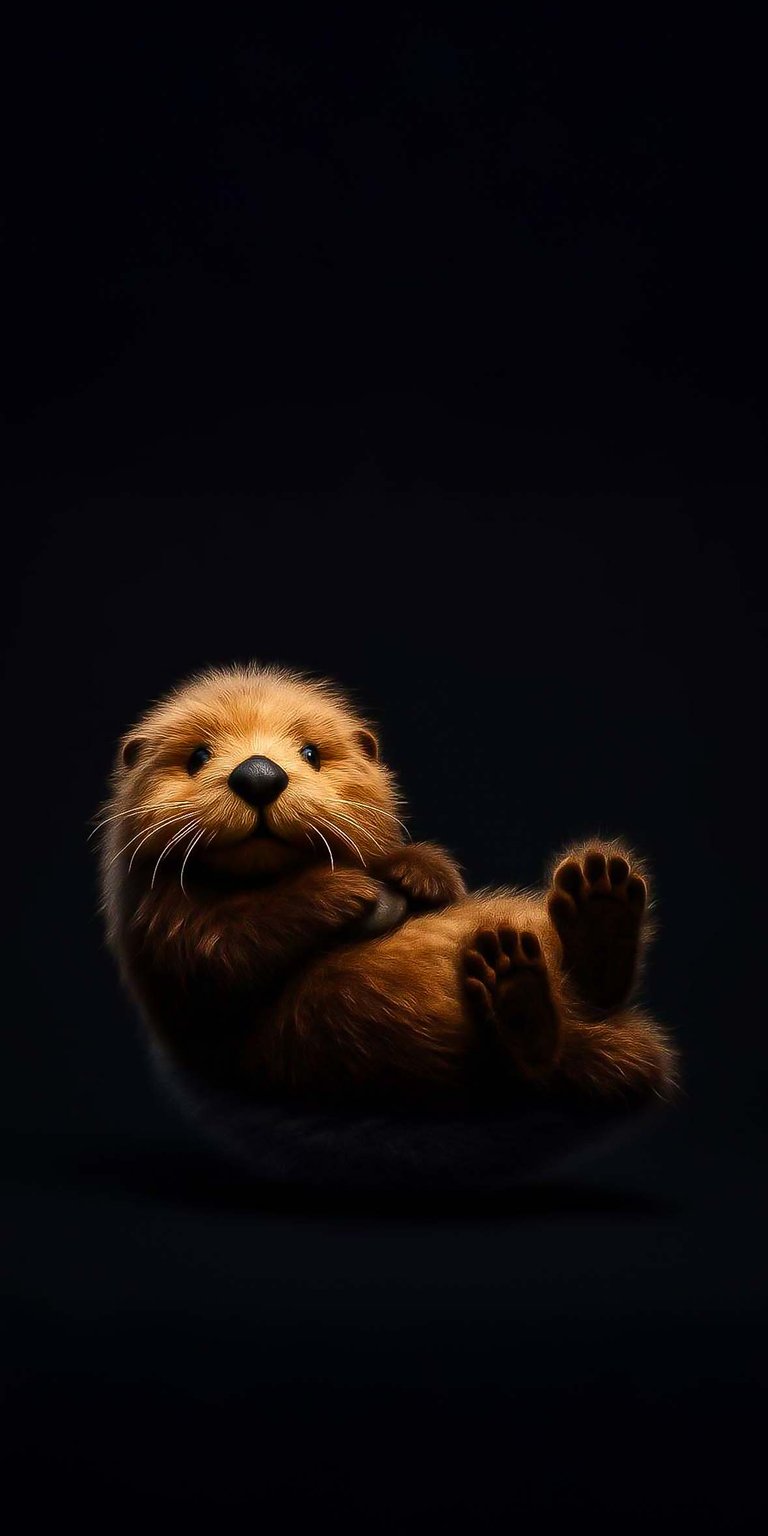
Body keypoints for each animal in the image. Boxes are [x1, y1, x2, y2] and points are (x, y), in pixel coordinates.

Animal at [98, 664, 677, 1111]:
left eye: (311, 753)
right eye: (196, 756)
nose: (259, 775)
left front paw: (417, 872)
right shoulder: (164, 928)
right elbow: (226, 945)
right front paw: (344, 892)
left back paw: (598, 905)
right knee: (531, 1064)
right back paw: (519, 982)